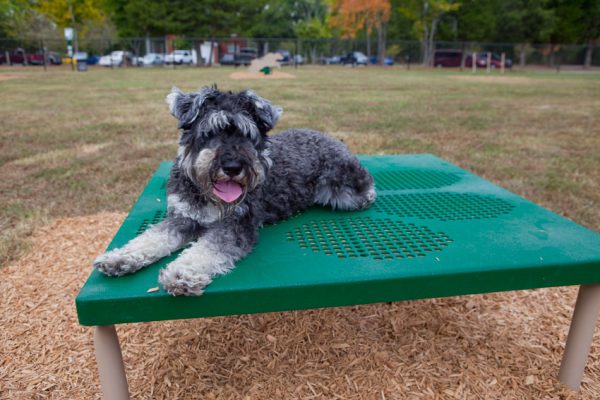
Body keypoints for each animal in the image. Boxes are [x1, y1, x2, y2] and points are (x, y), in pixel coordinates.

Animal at [94, 86, 376, 294]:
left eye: (246, 134)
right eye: (209, 132)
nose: (232, 167)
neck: (208, 196)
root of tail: (332, 139)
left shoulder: (235, 226)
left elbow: (207, 249)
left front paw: (182, 272)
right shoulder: (182, 217)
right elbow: (152, 238)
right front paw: (120, 258)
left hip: (345, 188)